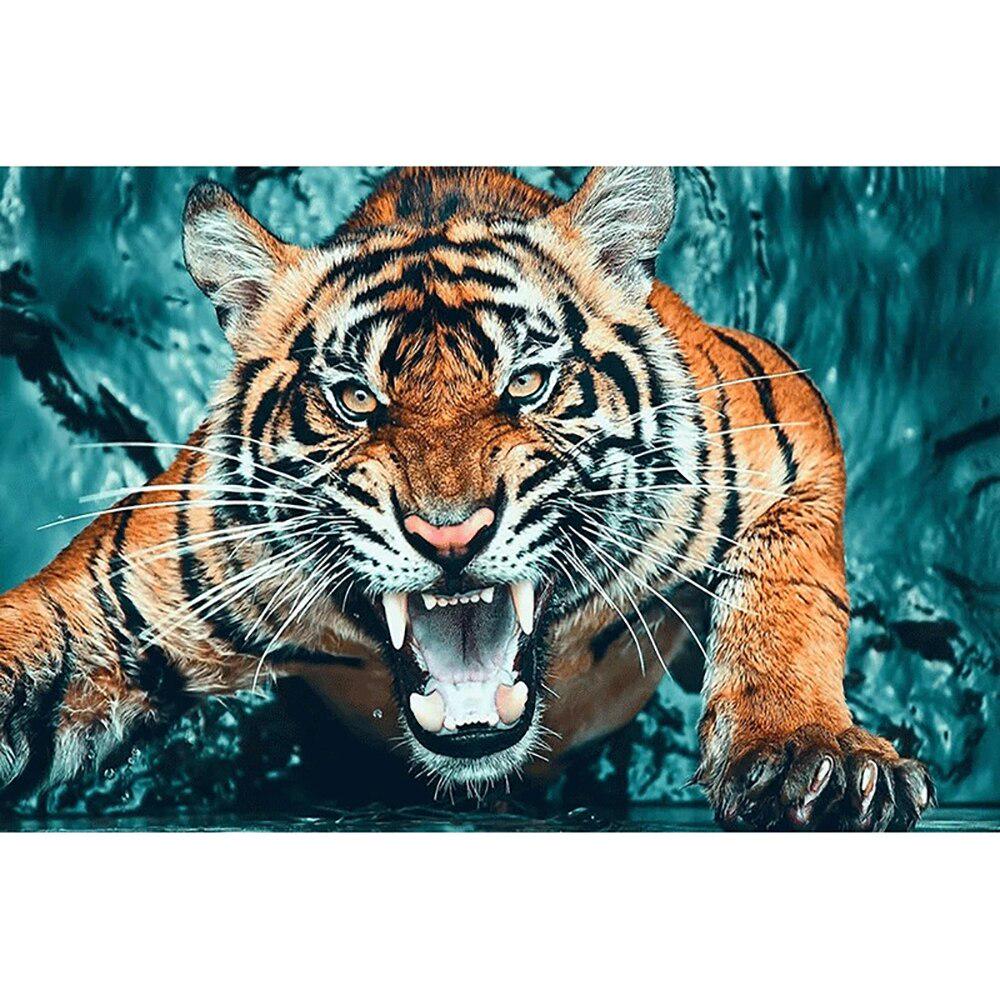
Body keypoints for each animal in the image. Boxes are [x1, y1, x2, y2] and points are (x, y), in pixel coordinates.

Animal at [0, 166, 934, 830]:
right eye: (357, 399)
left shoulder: (785, 428)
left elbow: (788, 600)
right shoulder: (113, 600)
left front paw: (809, 754)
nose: (449, 536)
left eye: (525, 383)